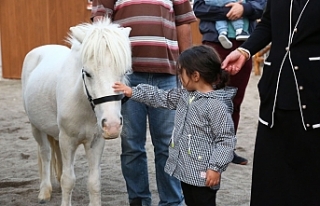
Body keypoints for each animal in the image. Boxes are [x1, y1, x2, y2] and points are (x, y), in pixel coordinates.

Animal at [21, 18, 131, 206]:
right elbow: (69, 180)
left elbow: (94, 182)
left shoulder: (96, 142)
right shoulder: (68, 141)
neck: (84, 105)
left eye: (124, 72)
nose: (112, 126)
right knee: (45, 153)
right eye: (87, 73)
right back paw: (45, 191)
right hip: (36, 127)